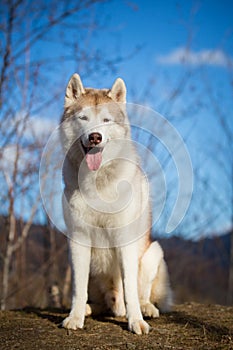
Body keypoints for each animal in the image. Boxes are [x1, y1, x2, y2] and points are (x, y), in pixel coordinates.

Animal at [60, 74, 173, 334]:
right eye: (83, 118)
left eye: (106, 120)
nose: (95, 137)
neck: (97, 180)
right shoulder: (78, 239)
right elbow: (78, 289)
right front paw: (75, 317)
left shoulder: (125, 239)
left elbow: (130, 289)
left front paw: (136, 321)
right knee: (101, 301)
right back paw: (91, 308)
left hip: (153, 253)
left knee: (140, 294)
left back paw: (145, 309)